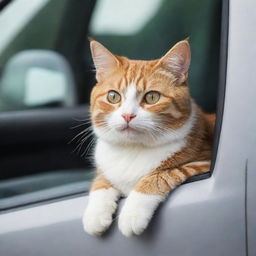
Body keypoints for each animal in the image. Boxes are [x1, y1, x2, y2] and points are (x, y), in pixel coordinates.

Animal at [83, 38, 215, 236]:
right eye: (113, 96)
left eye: (152, 97)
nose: (127, 115)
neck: (132, 149)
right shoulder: (105, 169)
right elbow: (101, 181)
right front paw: (95, 214)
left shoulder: (202, 162)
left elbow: (159, 176)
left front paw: (132, 213)